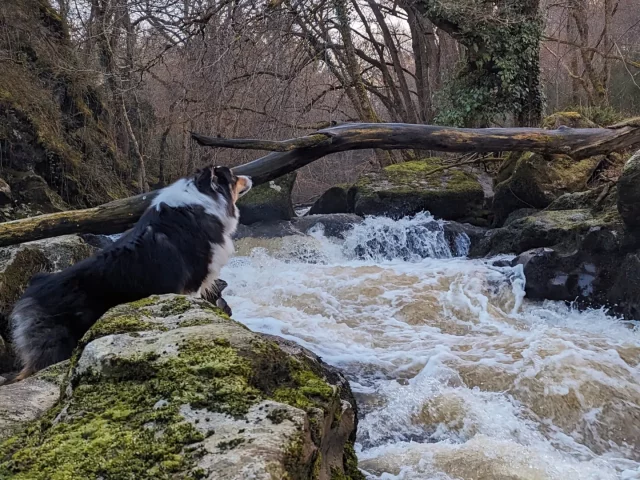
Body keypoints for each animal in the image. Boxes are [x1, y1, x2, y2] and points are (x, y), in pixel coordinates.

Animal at [10, 167, 250, 380]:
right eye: (233, 176)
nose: (250, 178)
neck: (202, 199)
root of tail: (32, 287)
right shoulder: (192, 285)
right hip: (56, 347)